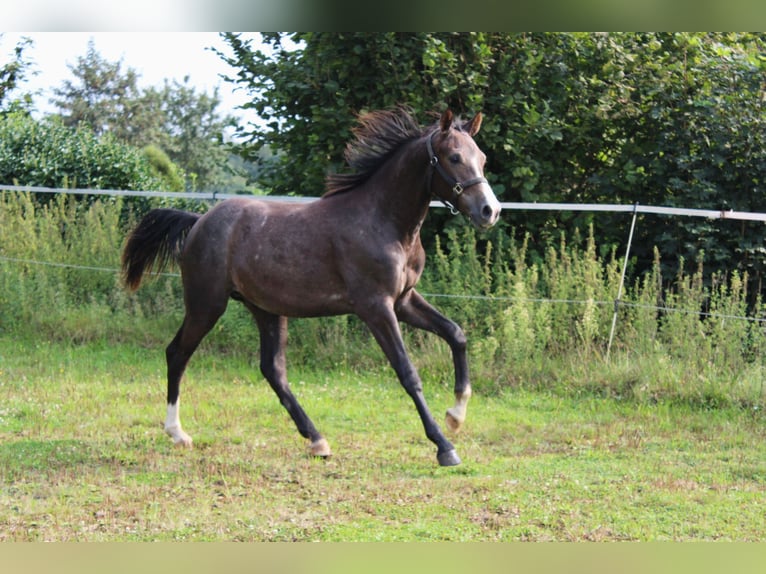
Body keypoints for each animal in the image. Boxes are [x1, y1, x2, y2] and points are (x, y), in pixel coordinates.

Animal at [121, 108, 504, 468]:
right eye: (454, 157)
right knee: (177, 353)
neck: (384, 222)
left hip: (266, 309)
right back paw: (177, 432)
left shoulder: (404, 300)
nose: (490, 211)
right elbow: (407, 372)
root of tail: (199, 220)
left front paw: (456, 415)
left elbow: (456, 334)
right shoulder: (376, 307)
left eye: (482, 158)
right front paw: (444, 446)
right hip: (206, 305)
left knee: (272, 369)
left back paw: (317, 440)